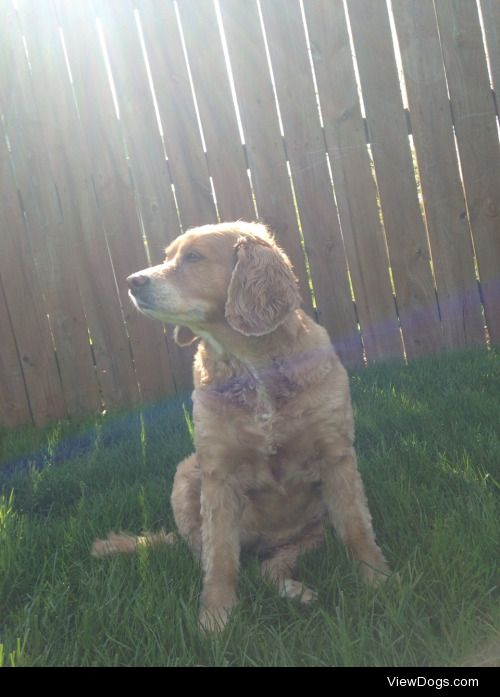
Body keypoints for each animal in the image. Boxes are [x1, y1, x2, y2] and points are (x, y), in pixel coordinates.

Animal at [94, 222, 390, 632]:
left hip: (312, 533)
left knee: (271, 566)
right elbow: (219, 560)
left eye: (194, 256)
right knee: (219, 557)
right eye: (168, 256)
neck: (250, 366)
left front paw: (378, 582)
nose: (132, 281)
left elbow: (357, 528)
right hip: (186, 473)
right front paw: (215, 619)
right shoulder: (217, 473)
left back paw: (296, 590)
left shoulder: (337, 455)